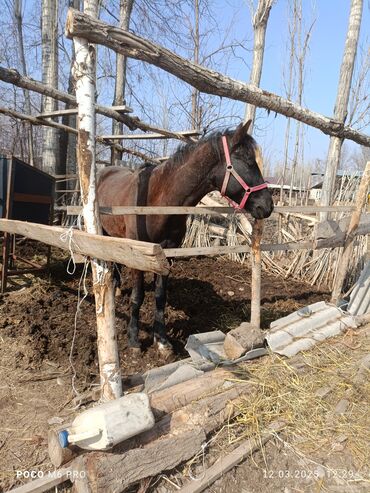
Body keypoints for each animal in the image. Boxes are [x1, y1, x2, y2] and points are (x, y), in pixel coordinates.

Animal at [97, 122, 274, 354]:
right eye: (249, 162)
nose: (268, 205)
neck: (157, 202)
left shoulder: (167, 255)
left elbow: (160, 296)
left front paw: (162, 340)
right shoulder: (138, 257)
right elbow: (138, 297)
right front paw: (134, 340)